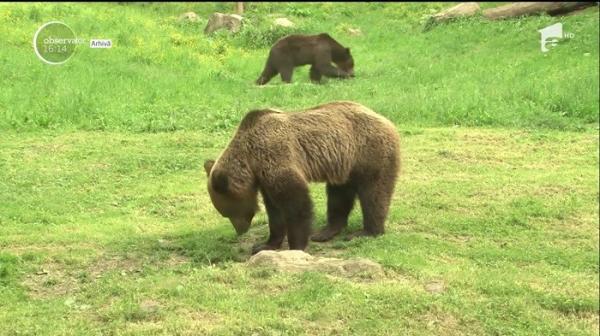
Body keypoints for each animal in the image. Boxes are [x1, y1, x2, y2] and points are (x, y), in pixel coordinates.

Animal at [204, 101, 400, 253]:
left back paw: (367, 231)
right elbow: (275, 212)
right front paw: (264, 245)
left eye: (228, 212)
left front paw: (296, 246)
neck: (250, 160)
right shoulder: (265, 180)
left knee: (374, 193)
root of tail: (386, 120)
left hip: (369, 152)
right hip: (344, 165)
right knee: (338, 196)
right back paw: (325, 232)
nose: (240, 230)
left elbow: (296, 203)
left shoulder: (276, 158)